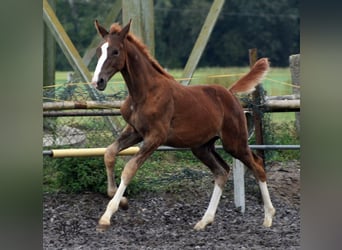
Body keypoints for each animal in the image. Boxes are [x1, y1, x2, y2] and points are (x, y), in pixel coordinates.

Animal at [91, 20, 276, 231]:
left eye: (115, 51)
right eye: (99, 50)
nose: (98, 81)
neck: (145, 92)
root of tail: (230, 94)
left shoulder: (156, 136)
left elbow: (129, 168)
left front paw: (108, 214)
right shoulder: (135, 131)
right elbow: (109, 153)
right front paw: (121, 201)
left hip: (234, 142)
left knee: (257, 165)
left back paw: (268, 217)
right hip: (202, 147)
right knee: (222, 171)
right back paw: (204, 220)